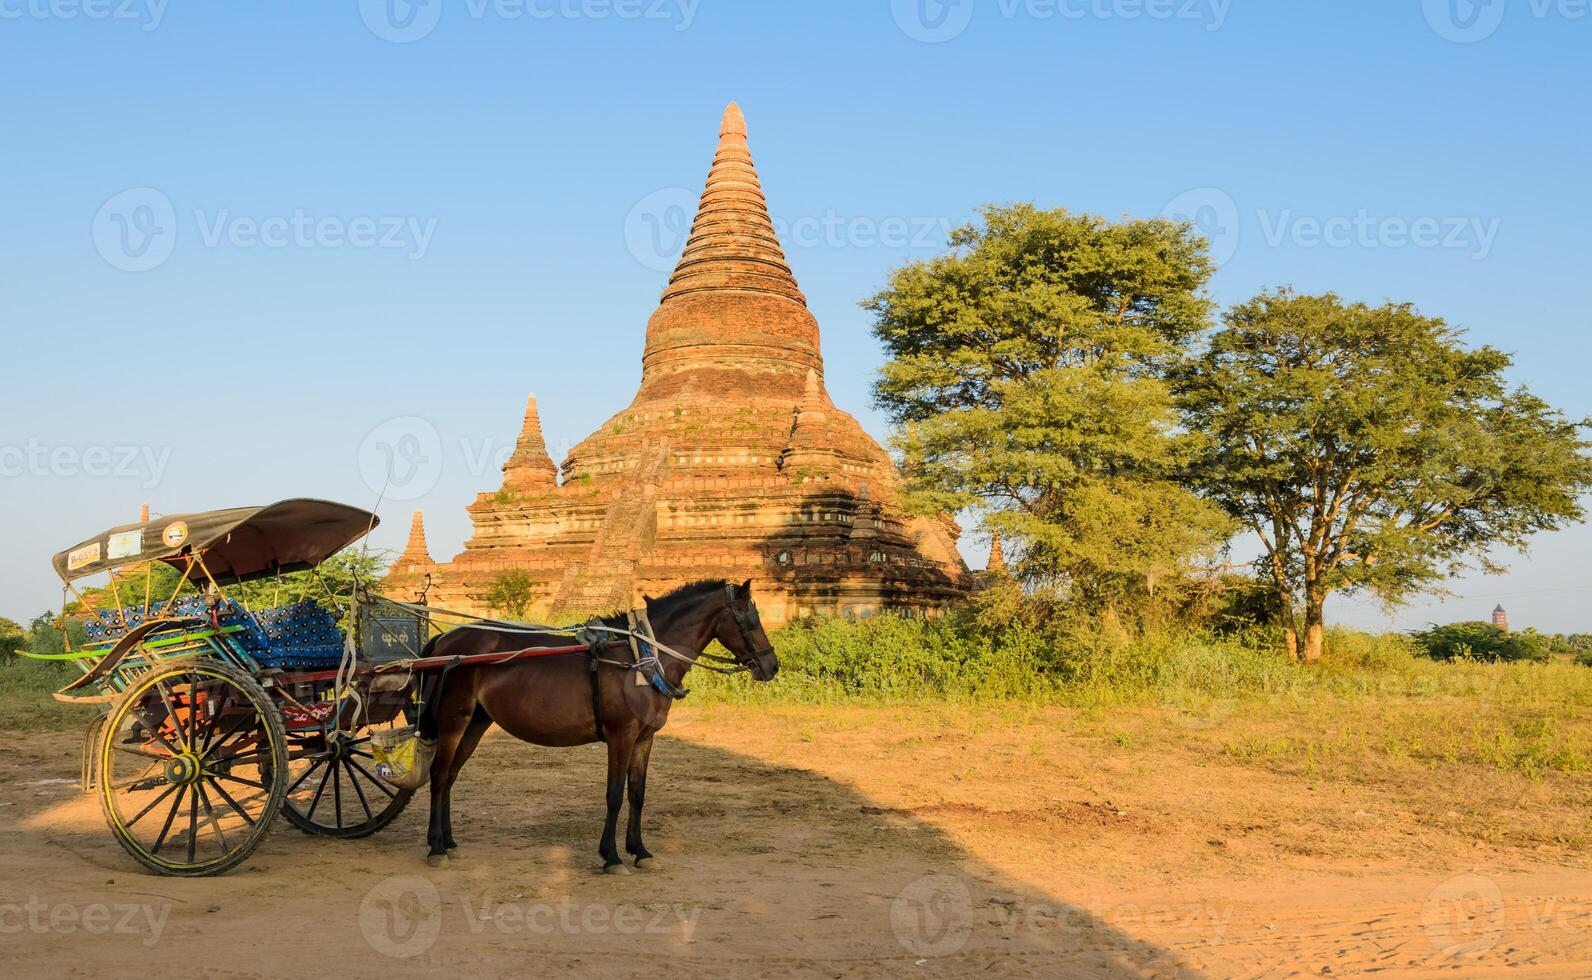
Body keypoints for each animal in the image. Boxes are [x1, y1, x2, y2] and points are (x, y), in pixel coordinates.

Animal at [417, 579, 776, 871]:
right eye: (751, 619)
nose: (772, 665)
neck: (640, 658)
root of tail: (445, 638)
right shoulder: (621, 736)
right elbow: (614, 794)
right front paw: (612, 856)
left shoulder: (644, 738)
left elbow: (637, 793)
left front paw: (640, 851)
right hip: (453, 720)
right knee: (439, 776)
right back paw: (436, 847)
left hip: (476, 722)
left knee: (451, 777)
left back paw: (449, 841)